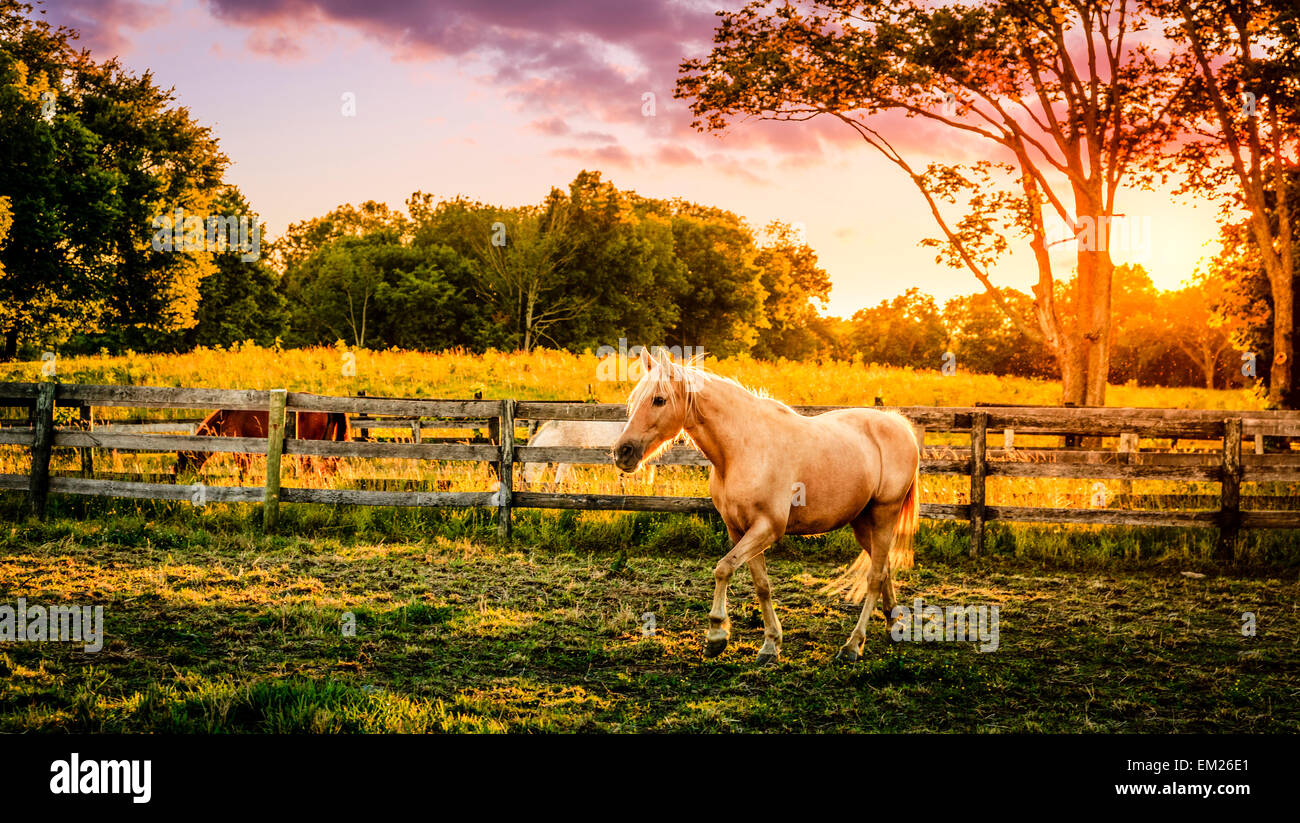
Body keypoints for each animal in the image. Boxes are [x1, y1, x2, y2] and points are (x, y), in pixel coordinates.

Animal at [613, 345, 920, 660]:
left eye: (659, 400)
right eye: (635, 400)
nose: (622, 452)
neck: (742, 449)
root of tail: (898, 424)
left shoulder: (767, 528)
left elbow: (723, 568)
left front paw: (716, 634)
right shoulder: (739, 530)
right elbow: (761, 584)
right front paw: (771, 643)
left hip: (884, 515)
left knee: (874, 576)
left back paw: (852, 644)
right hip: (861, 522)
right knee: (883, 568)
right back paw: (892, 624)